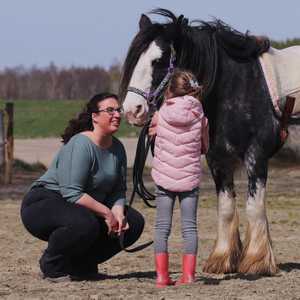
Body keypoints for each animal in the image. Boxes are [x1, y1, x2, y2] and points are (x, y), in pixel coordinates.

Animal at [119, 7, 290, 274]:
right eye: (135, 59)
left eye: (159, 60)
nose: (132, 110)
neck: (241, 86)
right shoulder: (218, 159)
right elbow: (226, 207)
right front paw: (222, 259)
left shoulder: (257, 155)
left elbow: (254, 206)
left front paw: (256, 261)